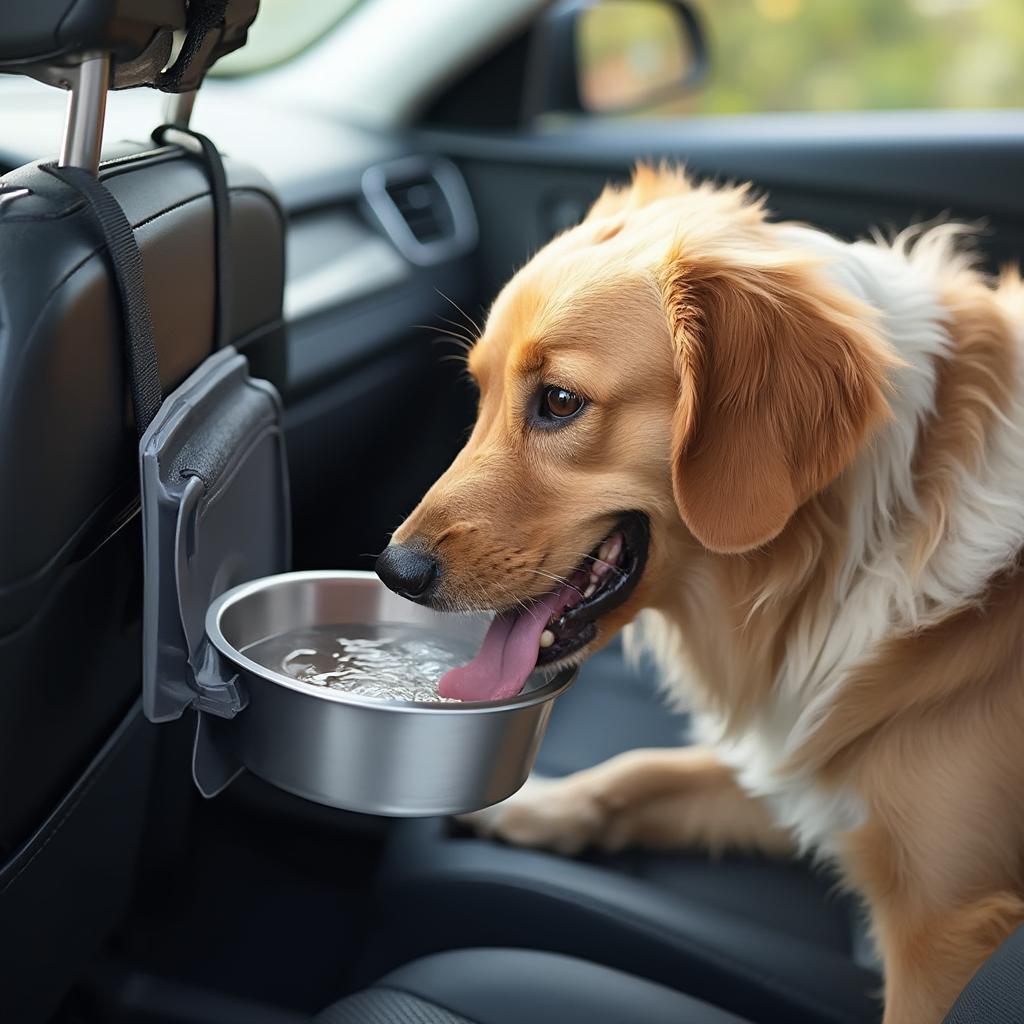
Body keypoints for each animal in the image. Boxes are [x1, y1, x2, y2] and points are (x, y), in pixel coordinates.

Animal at [374, 163, 1024, 1019]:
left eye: (559, 401)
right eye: (478, 392)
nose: (396, 570)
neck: (871, 529)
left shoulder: (947, 929)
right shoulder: (799, 758)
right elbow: (646, 768)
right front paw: (532, 801)